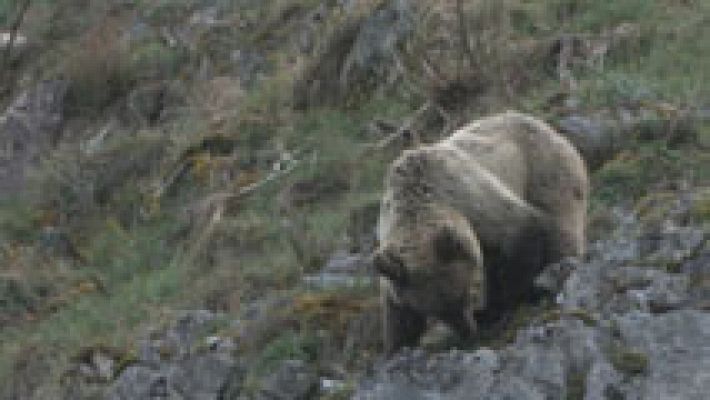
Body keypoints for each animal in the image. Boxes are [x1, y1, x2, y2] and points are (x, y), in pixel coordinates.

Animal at [372, 110, 588, 354]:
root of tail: (540, 123)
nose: (467, 332)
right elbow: (396, 311)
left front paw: (511, 301)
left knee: (560, 230)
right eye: (435, 312)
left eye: (464, 295)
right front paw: (397, 344)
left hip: (545, 172)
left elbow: (521, 232)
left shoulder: (469, 197)